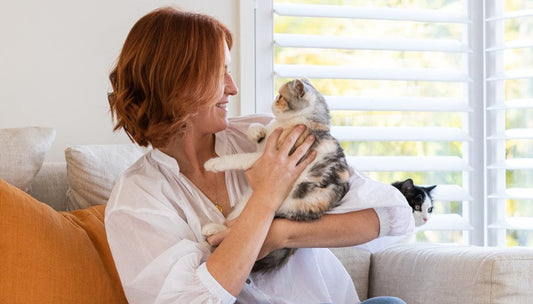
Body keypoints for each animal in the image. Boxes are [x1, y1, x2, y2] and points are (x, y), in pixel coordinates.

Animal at [201, 78, 350, 274]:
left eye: (280, 96)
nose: (272, 101)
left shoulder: (266, 157)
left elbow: (240, 158)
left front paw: (214, 163)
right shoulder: (265, 149)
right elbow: (257, 130)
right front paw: (258, 132)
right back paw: (211, 229)